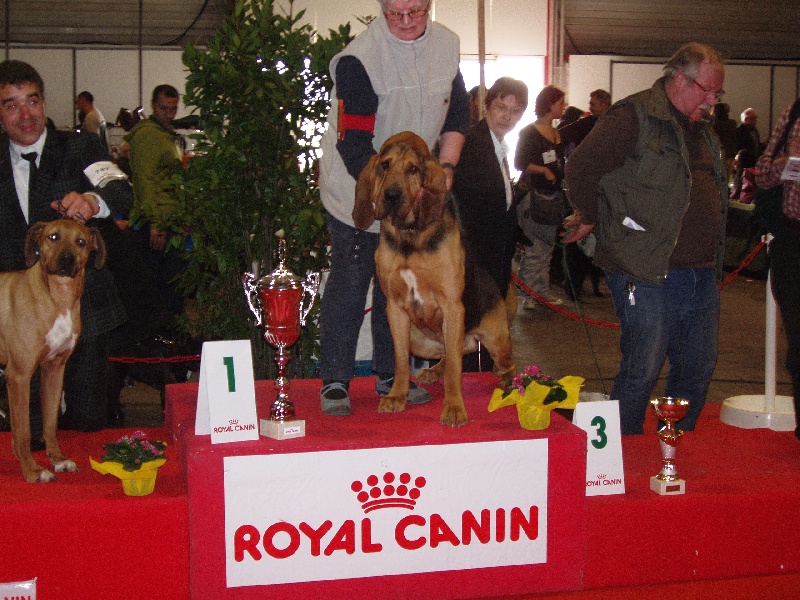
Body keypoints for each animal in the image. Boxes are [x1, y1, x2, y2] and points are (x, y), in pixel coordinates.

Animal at [0, 219, 105, 482]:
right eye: (53, 237)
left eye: (81, 242)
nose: (67, 259)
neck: (58, 298)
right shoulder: (18, 376)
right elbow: (23, 432)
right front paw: (32, 470)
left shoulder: (55, 370)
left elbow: (50, 424)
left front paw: (58, 459)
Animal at [353, 131, 516, 427]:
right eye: (384, 165)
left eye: (412, 169)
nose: (391, 196)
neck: (410, 236)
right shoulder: (395, 309)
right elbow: (401, 361)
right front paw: (397, 396)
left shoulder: (452, 307)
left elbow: (455, 371)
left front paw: (454, 407)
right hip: (421, 340)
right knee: (451, 353)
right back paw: (432, 371)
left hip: (494, 338)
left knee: (503, 363)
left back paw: (507, 381)